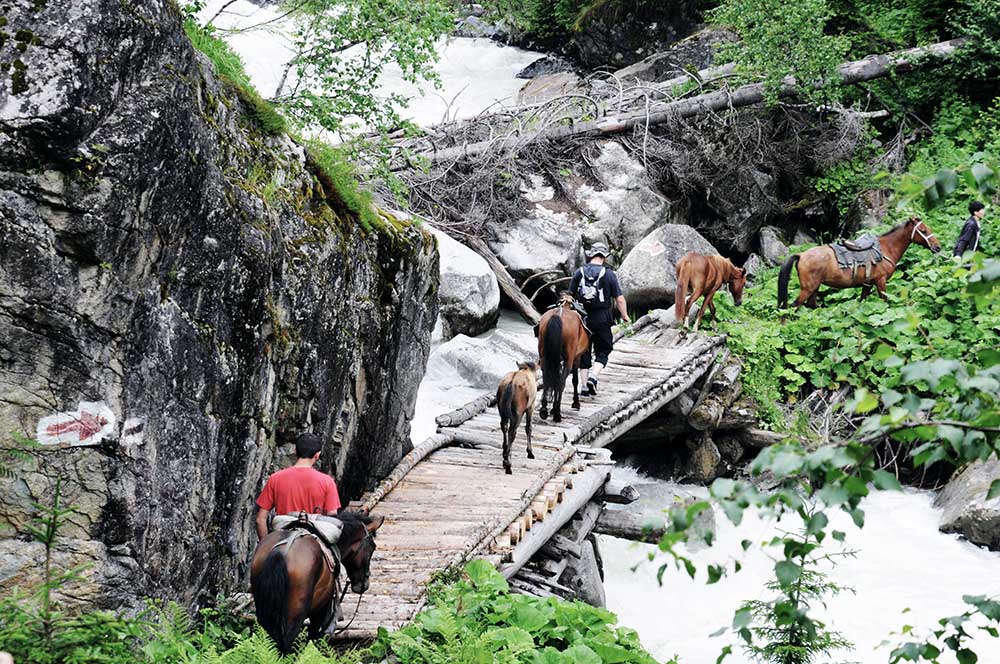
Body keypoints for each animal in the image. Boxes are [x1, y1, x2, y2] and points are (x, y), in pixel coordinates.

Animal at [536, 294, 588, 422]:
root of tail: (558, 315)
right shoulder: (576, 358)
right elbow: (575, 380)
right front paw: (575, 403)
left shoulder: (557, 360)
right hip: (569, 358)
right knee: (561, 382)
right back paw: (557, 414)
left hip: (544, 356)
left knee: (547, 379)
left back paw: (544, 410)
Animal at [776, 219, 940, 310]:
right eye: (923, 230)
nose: (937, 247)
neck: (885, 249)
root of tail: (801, 255)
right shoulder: (880, 281)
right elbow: (885, 301)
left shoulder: (867, 284)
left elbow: (862, 302)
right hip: (807, 289)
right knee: (792, 307)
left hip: (814, 288)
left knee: (812, 306)